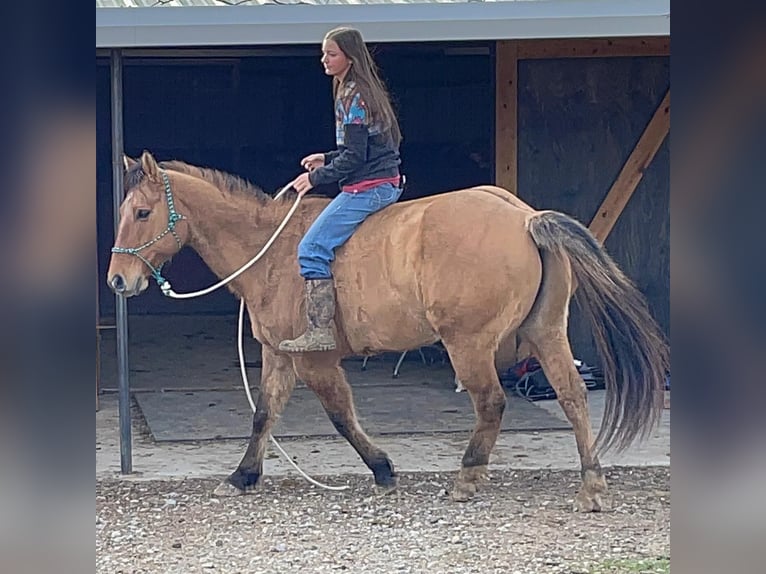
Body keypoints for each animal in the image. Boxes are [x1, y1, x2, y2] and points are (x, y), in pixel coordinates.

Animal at [109, 150, 672, 512]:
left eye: (142, 212)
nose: (118, 280)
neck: (272, 249)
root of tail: (525, 217)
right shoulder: (278, 356)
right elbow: (264, 414)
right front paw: (244, 475)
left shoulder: (315, 361)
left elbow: (341, 416)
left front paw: (382, 468)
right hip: (546, 332)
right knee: (573, 396)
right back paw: (591, 485)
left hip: (468, 344)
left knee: (491, 402)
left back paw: (467, 478)